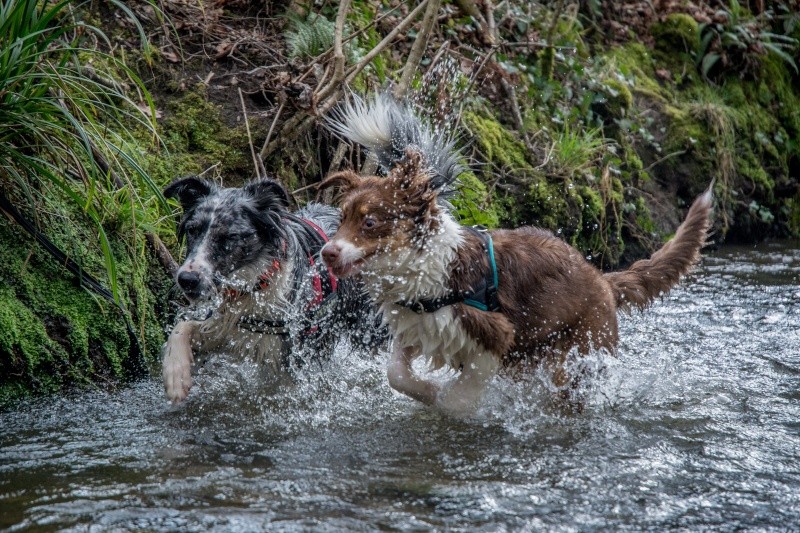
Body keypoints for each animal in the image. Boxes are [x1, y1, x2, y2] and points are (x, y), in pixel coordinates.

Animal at [162, 177, 382, 402]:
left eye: (230, 236)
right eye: (192, 230)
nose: (187, 279)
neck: (253, 287)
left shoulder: (290, 355)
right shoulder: (225, 325)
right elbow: (182, 327)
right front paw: (176, 375)